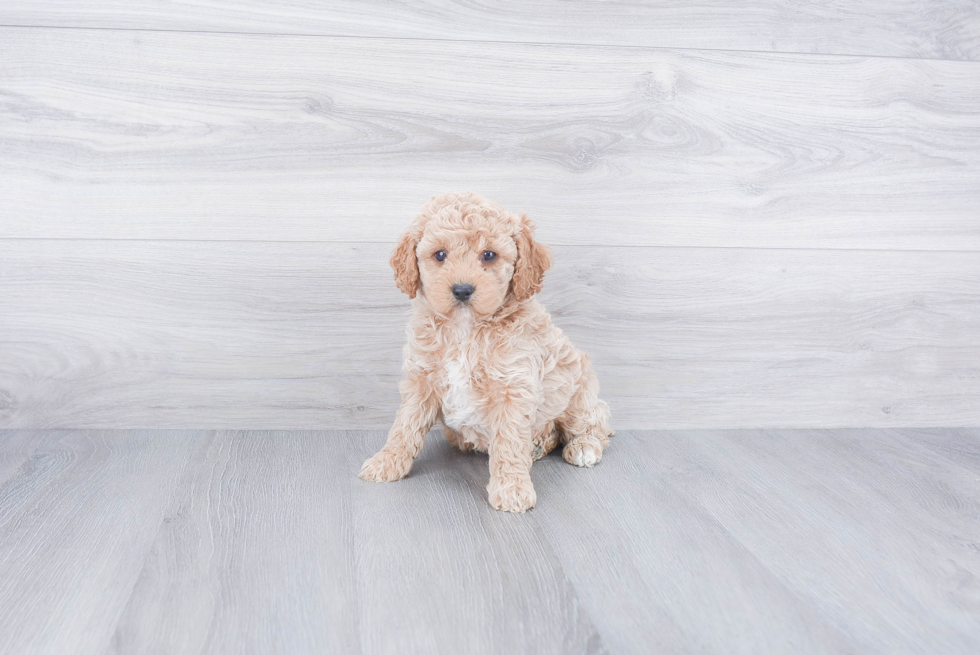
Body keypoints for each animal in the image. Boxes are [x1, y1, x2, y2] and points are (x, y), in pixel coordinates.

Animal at [360, 190, 612, 512]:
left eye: (489, 255)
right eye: (439, 254)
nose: (462, 290)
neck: (465, 329)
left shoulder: (513, 387)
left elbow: (509, 441)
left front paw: (512, 488)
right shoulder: (422, 380)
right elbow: (405, 424)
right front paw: (387, 461)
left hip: (578, 391)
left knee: (594, 422)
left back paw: (583, 446)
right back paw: (539, 444)